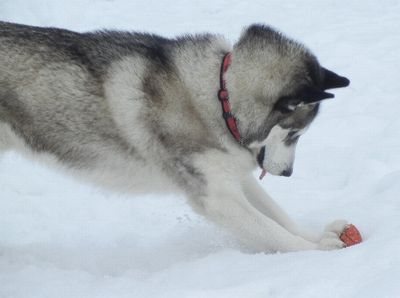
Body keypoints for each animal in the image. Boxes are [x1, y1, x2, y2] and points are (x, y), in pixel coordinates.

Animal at [0, 22, 350, 253]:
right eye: (294, 133)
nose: (288, 173)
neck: (219, 96)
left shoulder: (231, 174)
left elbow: (276, 213)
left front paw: (312, 234)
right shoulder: (216, 198)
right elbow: (272, 231)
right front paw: (318, 250)